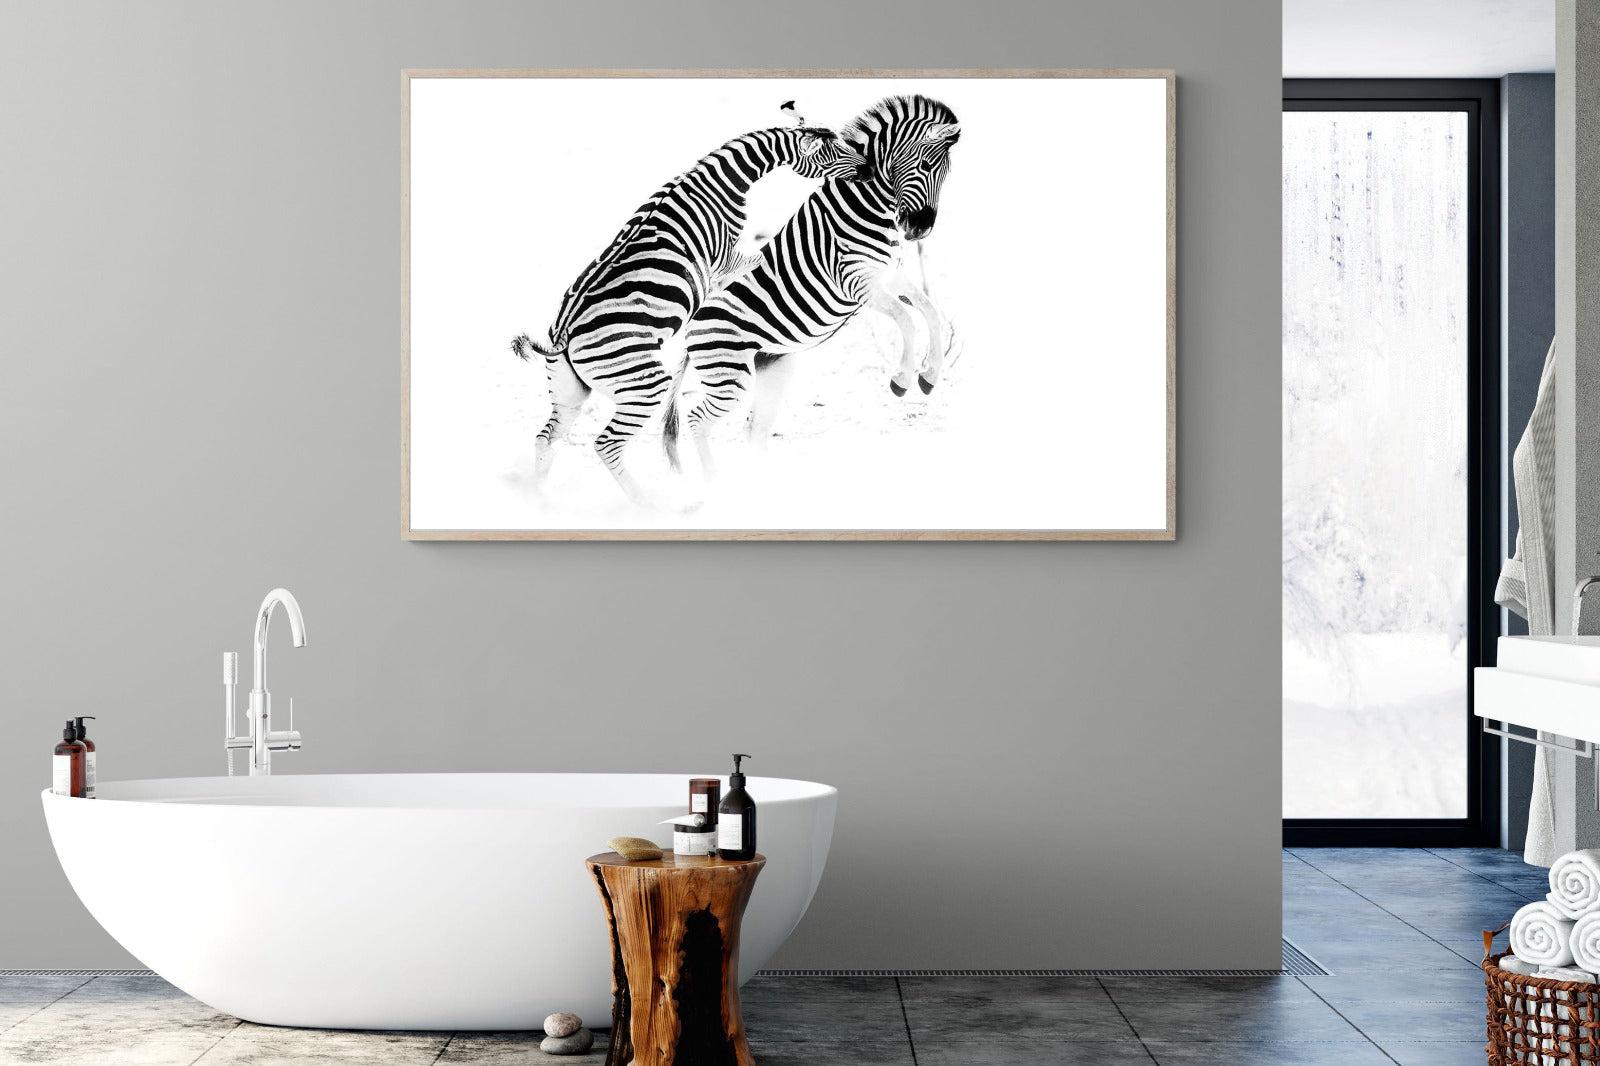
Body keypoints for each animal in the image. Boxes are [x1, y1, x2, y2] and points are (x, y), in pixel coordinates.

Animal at [509, 118, 867, 505]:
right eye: (833, 152)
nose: (866, 168)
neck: (720, 185)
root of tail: (563, 335)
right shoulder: (723, 263)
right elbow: (761, 259)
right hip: (645, 383)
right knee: (606, 444)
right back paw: (646, 503)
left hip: (569, 393)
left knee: (546, 437)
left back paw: (539, 499)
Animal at [661, 95, 960, 474]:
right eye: (925, 164)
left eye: (946, 173)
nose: (921, 229)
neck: (864, 204)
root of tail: (690, 327)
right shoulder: (855, 280)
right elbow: (907, 319)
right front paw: (902, 379)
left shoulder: (888, 273)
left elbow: (930, 312)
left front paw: (929, 375)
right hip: (729, 372)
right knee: (698, 420)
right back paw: (714, 480)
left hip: (773, 367)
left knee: (754, 430)